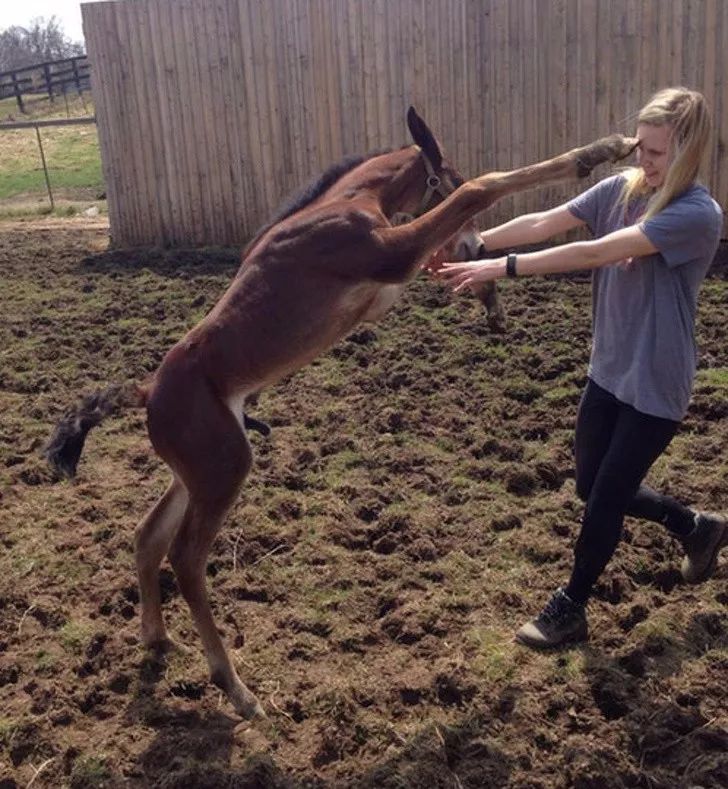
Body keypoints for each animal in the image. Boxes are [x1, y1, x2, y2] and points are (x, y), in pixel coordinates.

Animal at [47, 107, 636, 716]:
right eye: (446, 174)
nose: (477, 245)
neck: (344, 203)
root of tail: (147, 392)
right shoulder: (390, 254)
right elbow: (481, 188)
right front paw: (601, 150)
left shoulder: (390, 278)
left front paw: (490, 302)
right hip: (224, 469)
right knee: (186, 560)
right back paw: (234, 687)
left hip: (197, 473)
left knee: (147, 537)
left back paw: (158, 638)